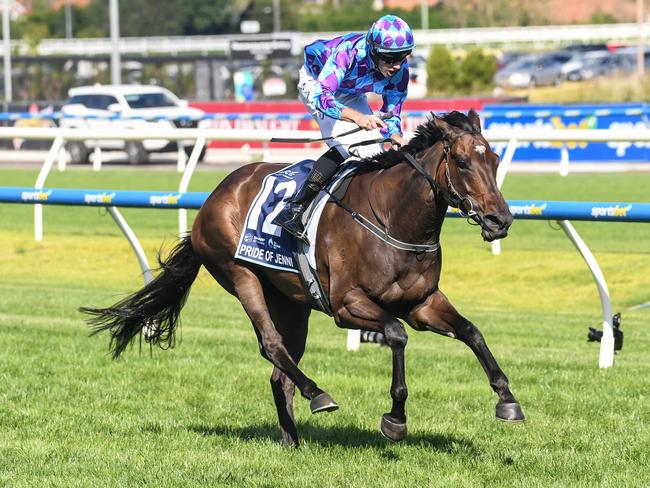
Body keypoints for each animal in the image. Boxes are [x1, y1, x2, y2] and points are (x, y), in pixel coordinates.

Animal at [82, 109, 528, 446]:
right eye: (464, 162)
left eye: (495, 161)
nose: (500, 220)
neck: (394, 219)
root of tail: (214, 197)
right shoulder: (347, 305)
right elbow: (396, 335)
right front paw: (395, 417)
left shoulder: (422, 303)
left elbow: (471, 332)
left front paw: (507, 399)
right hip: (240, 275)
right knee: (271, 345)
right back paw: (318, 394)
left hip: (292, 303)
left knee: (280, 372)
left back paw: (291, 439)